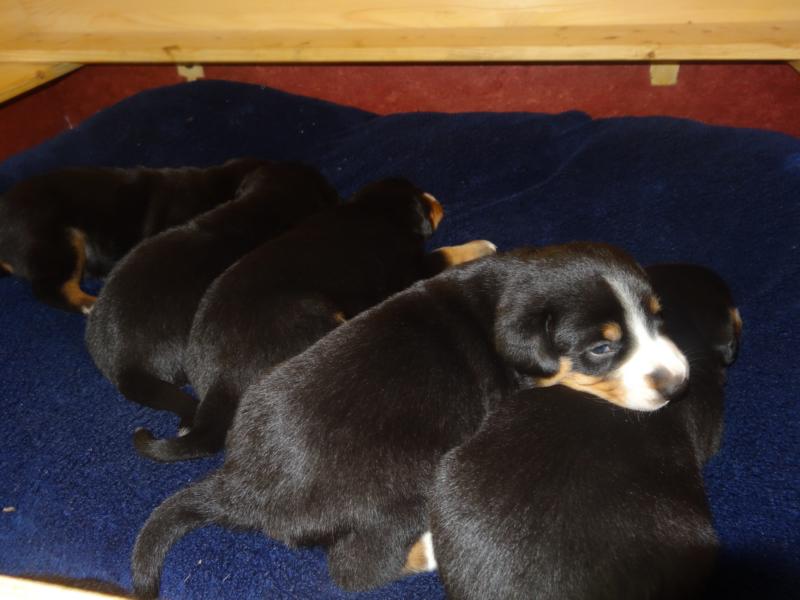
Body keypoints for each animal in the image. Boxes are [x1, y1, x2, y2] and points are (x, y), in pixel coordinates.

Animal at [130, 242, 690, 598]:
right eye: (601, 348)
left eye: (657, 317)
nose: (678, 382)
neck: (504, 297)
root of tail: (248, 480)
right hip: (403, 485)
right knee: (355, 569)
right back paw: (430, 551)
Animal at [133, 177, 494, 462]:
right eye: (422, 198)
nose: (437, 200)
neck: (371, 210)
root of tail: (221, 377)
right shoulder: (410, 266)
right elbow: (444, 253)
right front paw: (480, 245)